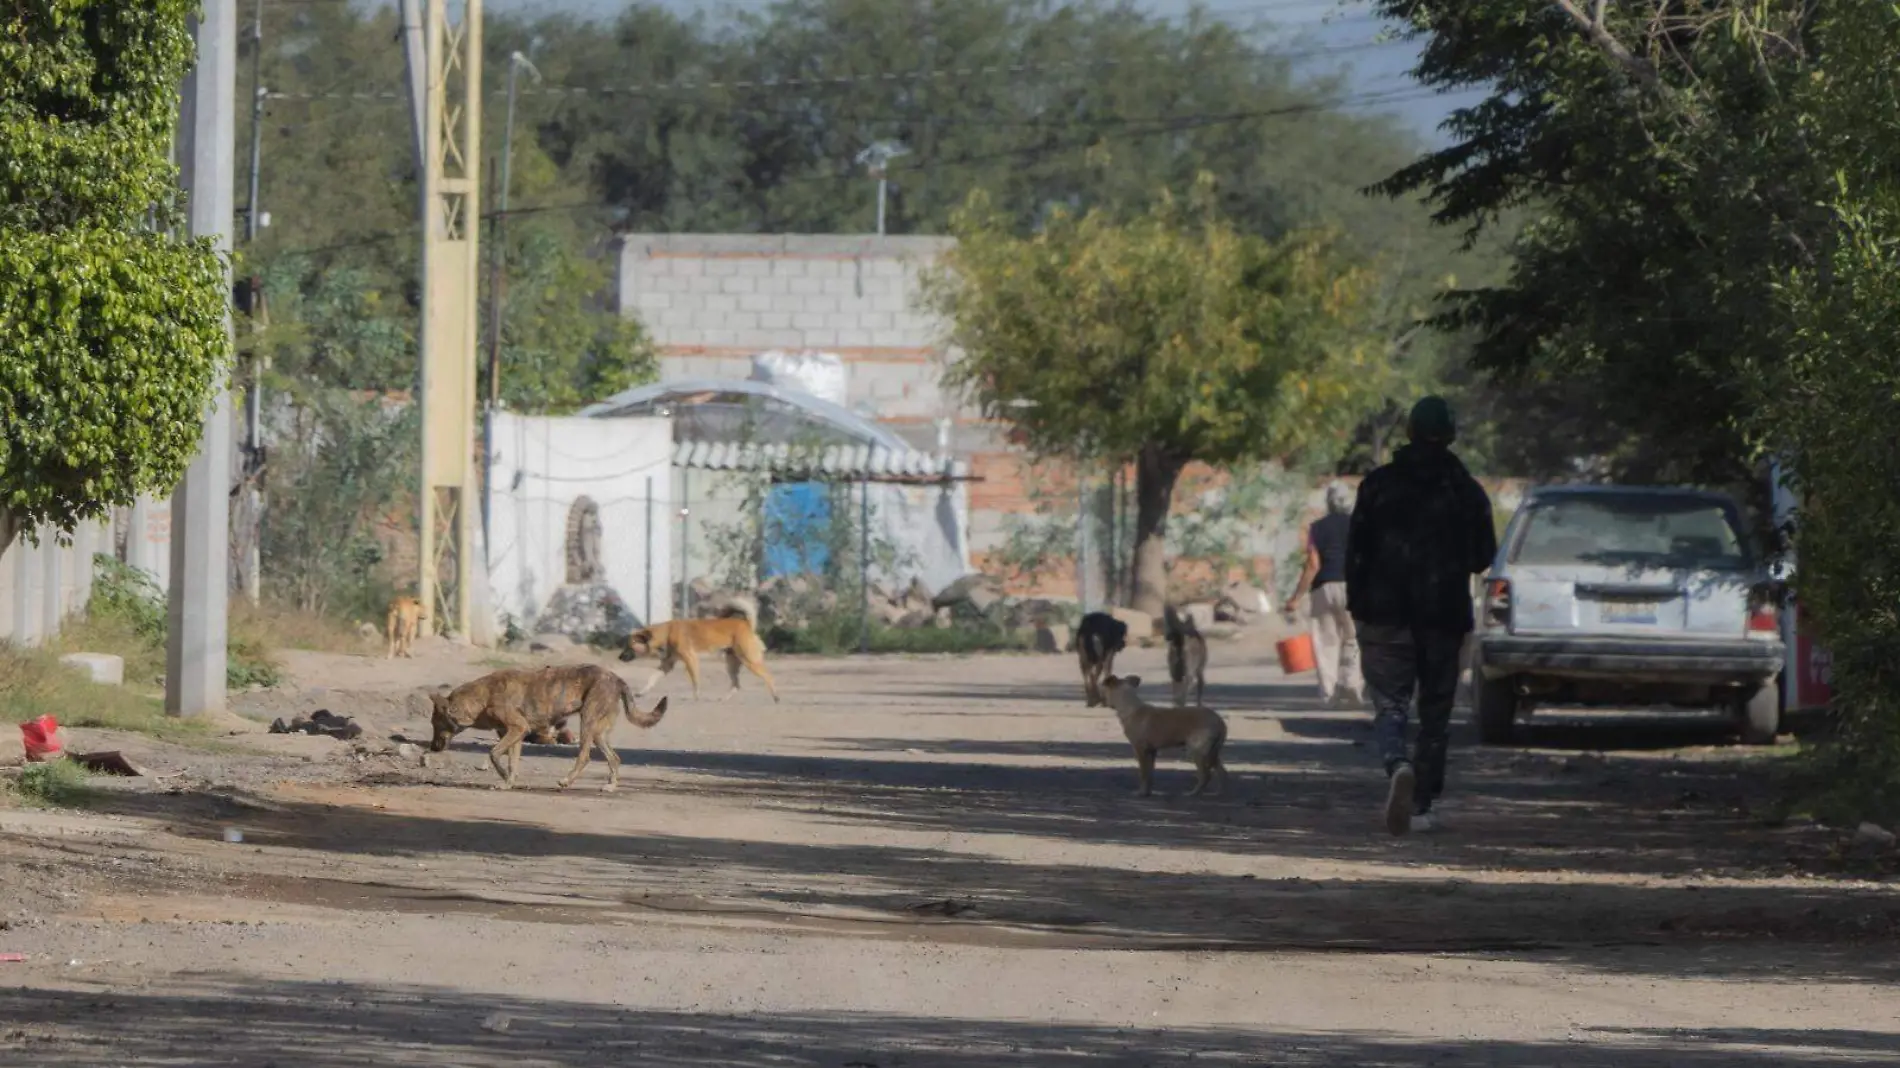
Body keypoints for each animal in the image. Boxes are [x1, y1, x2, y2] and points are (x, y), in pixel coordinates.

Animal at [431, 661, 668, 786]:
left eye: (435, 723)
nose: (431, 749)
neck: (482, 697)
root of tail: (616, 678)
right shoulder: (515, 735)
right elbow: (512, 763)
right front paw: (509, 782)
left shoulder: (517, 729)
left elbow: (493, 754)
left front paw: (503, 778)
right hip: (599, 733)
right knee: (615, 758)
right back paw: (610, 786)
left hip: (587, 723)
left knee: (584, 757)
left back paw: (567, 781)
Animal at [615, 611, 779, 703]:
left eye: (629, 646)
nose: (619, 657)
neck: (666, 633)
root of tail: (746, 624)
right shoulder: (667, 664)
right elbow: (652, 678)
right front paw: (642, 692)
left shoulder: (690, 659)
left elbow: (695, 681)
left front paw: (696, 696)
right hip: (731, 664)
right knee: (736, 684)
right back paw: (723, 699)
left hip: (749, 660)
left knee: (768, 676)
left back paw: (776, 697)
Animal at [1102, 668, 1231, 794]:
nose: (1104, 703)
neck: (1131, 707)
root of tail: (1219, 721)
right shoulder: (1152, 751)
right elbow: (1149, 774)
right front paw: (1147, 791)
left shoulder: (1140, 750)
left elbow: (1143, 773)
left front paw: (1141, 792)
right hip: (1212, 752)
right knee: (1222, 772)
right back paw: (1219, 793)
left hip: (1196, 750)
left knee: (1206, 775)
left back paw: (1193, 793)